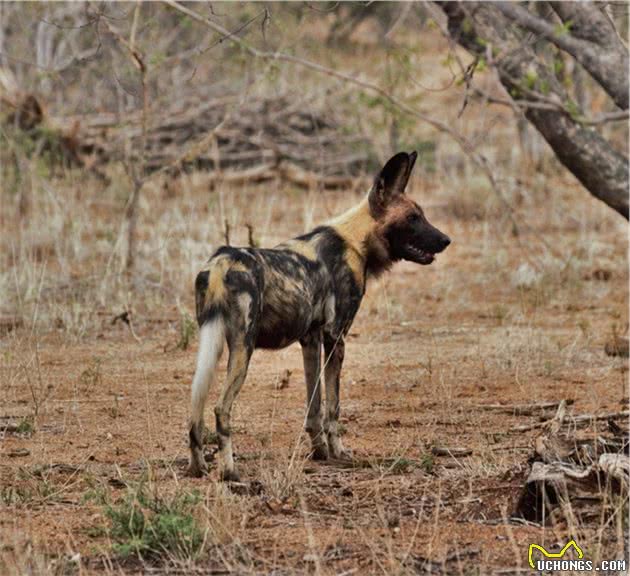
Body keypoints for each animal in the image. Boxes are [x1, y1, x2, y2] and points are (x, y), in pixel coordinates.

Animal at [188, 151, 450, 480]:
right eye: (413, 218)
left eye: (421, 215)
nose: (446, 240)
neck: (356, 241)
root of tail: (220, 263)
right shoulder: (335, 337)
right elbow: (333, 406)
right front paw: (338, 453)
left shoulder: (311, 340)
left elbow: (314, 406)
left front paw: (319, 452)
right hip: (242, 348)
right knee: (221, 409)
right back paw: (230, 472)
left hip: (211, 345)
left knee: (195, 411)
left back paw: (197, 467)